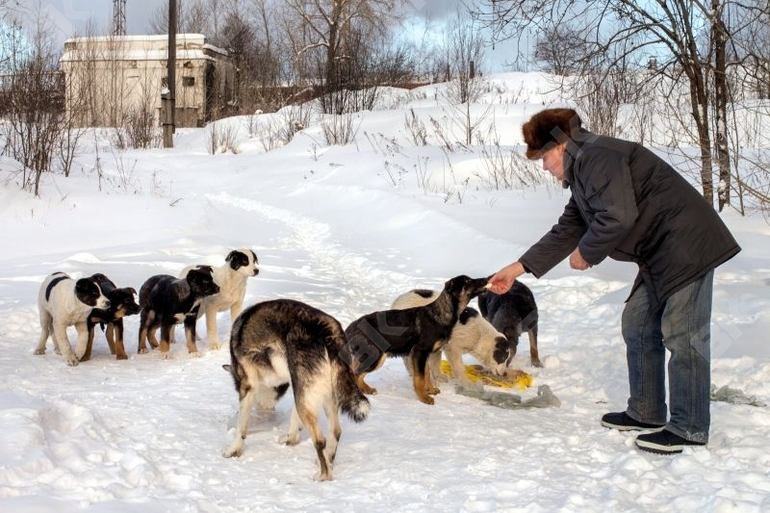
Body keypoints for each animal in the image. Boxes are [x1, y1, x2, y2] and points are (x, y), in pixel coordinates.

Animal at [222, 298, 368, 482]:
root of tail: (327, 332)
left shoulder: (247, 387)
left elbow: (241, 427)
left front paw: (234, 450)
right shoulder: (297, 386)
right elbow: (294, 418)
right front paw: (291, 439)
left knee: (320, 440)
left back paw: (323, 475)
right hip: (324, 396)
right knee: (335, 432)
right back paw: (329, 462)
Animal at [340, 274, 486, 402]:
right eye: (467, 281)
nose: (486, 279)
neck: (441, 313)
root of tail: (352, 326)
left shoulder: (424, 354)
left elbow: (426, 373)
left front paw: (430, 390)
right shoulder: (420, 352)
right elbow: (420, 378)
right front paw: (424, 398)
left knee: (356, 373)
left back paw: (366, 389)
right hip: (375, 357)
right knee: (357, 374)